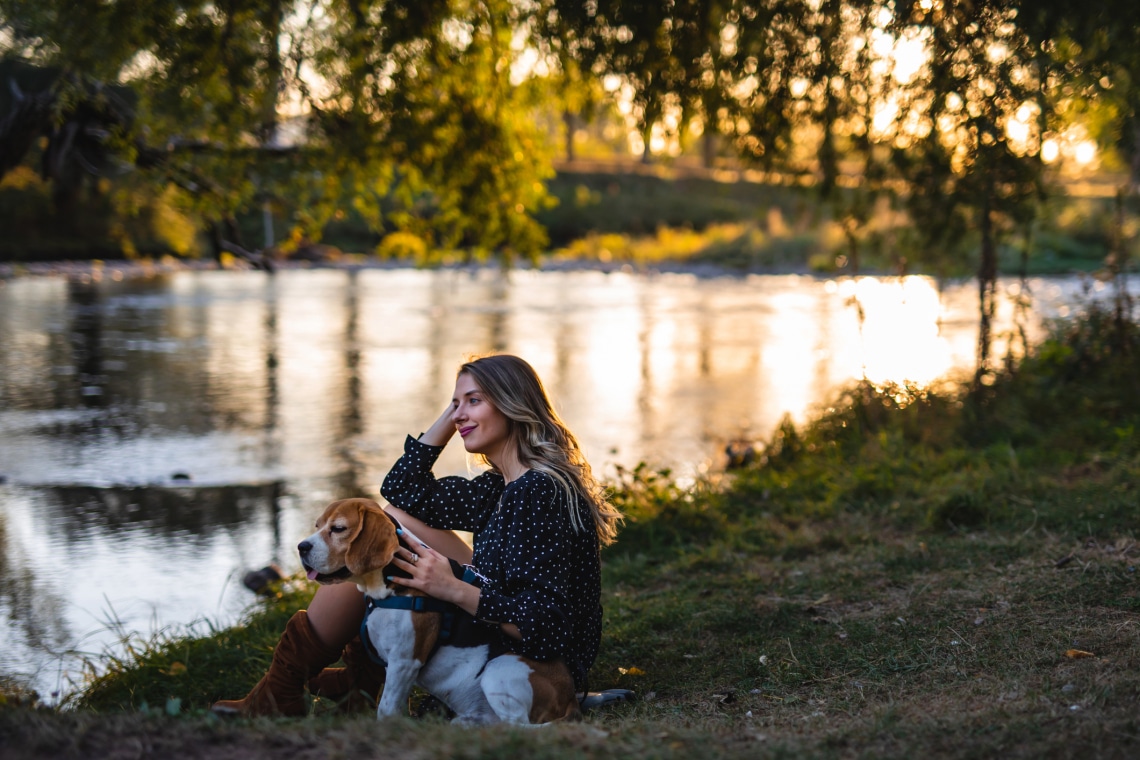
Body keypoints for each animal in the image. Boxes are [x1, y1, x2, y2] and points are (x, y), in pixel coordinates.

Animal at [296, 499, 579, 724]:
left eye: (338, 529)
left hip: (499, 670)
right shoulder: (395, 668)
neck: (390, 588)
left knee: (517, 726)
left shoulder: (405, 661)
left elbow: (385, 710)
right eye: (317, 526)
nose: (301, 547)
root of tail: (571, 698)